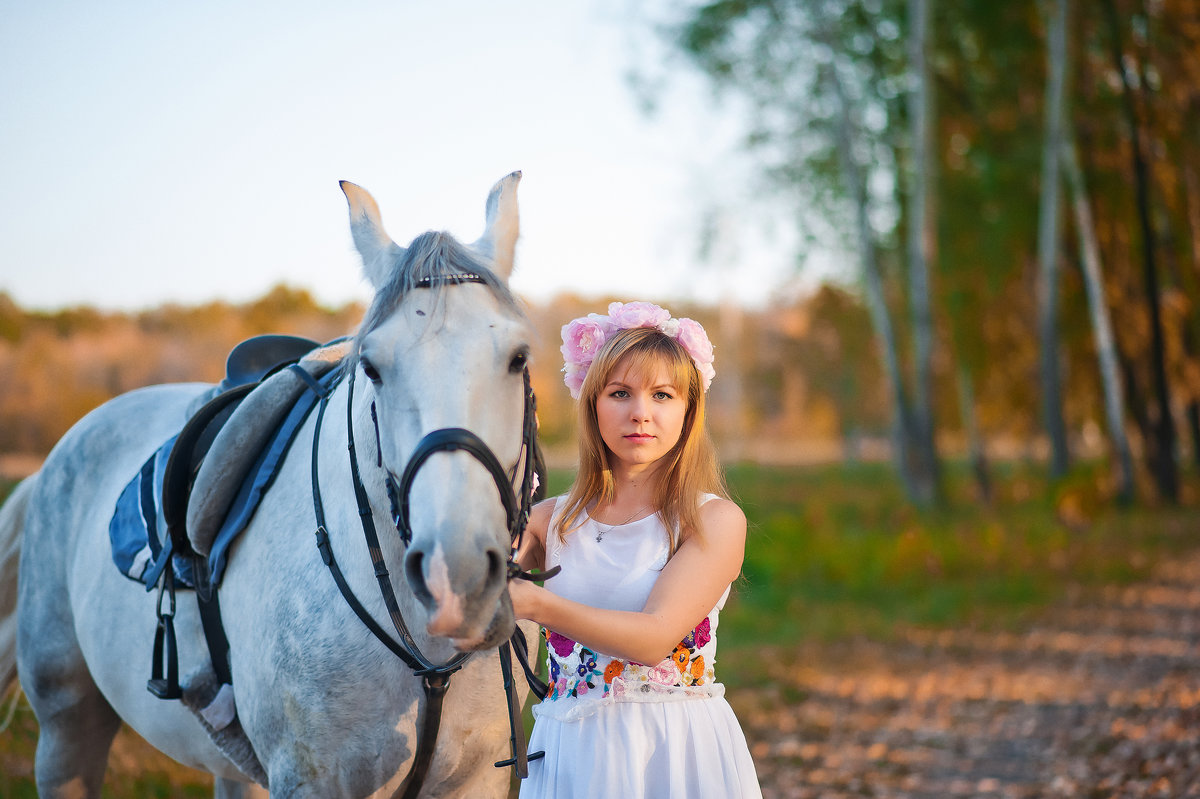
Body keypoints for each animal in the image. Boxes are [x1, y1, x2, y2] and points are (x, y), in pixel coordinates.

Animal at [0, 171, 537, 791]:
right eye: (372, 367)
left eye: (519, 358)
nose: (458, 576)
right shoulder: (310, 779)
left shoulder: (475, 780)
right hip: (66, 725)